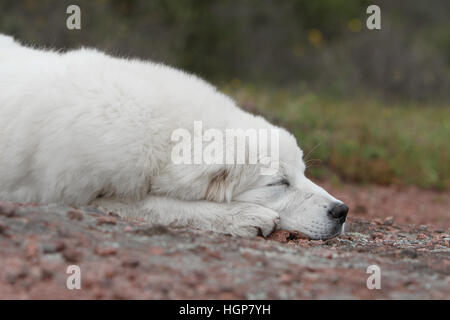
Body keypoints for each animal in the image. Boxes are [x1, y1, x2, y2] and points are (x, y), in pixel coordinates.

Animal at [0, 35, 348, 240]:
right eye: (278, 183)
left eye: (303, 173)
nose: (342, 211)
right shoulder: (71, 191)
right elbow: (154, 205)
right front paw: (241, 217)